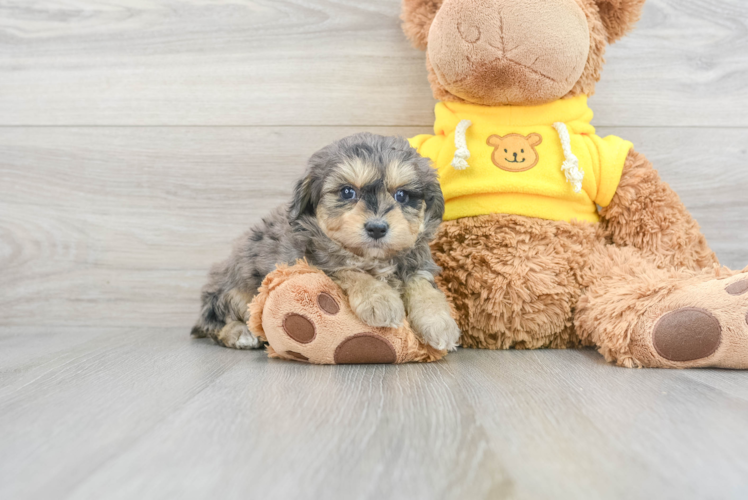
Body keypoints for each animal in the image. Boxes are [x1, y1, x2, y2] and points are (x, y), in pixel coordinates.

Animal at [191, 133, 462, 352]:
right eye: (347, 192)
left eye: (402, 195)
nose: (377, 228)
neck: (372, 256)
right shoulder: (317, 262)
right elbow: (350, 270)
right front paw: (380, 300)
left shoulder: (417, 262)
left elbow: (423, 286)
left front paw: (440, 323)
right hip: (234, 292)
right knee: (215, 323)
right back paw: (241, 334)